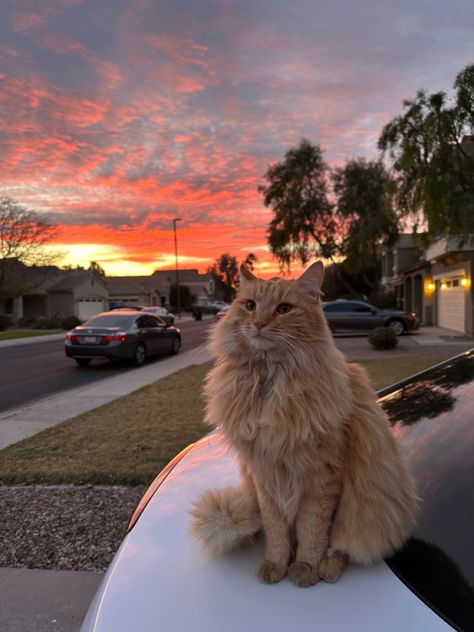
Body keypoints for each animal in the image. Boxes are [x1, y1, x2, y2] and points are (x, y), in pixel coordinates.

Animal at [191, 262, 416, 588]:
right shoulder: (264, 474)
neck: (270, 381)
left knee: (345, 546)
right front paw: (276, 564)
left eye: (284, 309)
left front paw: (306, 567)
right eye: (250, 305)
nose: (259, 323)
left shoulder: (322, 477)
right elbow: (276, 532)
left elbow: (314, 531)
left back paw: (328, 567)